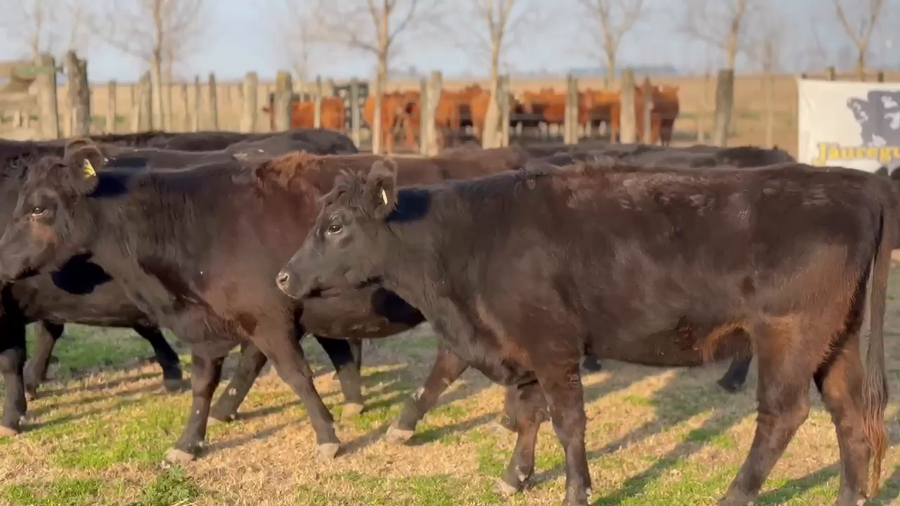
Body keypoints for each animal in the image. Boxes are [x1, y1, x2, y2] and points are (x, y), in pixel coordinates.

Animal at [276, 158, 895, 506]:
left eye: (335, 225)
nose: (283, 276)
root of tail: (856, 183)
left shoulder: (551, 345)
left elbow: (567, 423)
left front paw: (577, 491)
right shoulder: (516, 347)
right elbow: (528, 416)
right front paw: (515, 477)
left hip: (789, 336)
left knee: (781, 417)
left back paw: (733, 497)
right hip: (835, 342)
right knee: (850, 418)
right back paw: (848, 499)